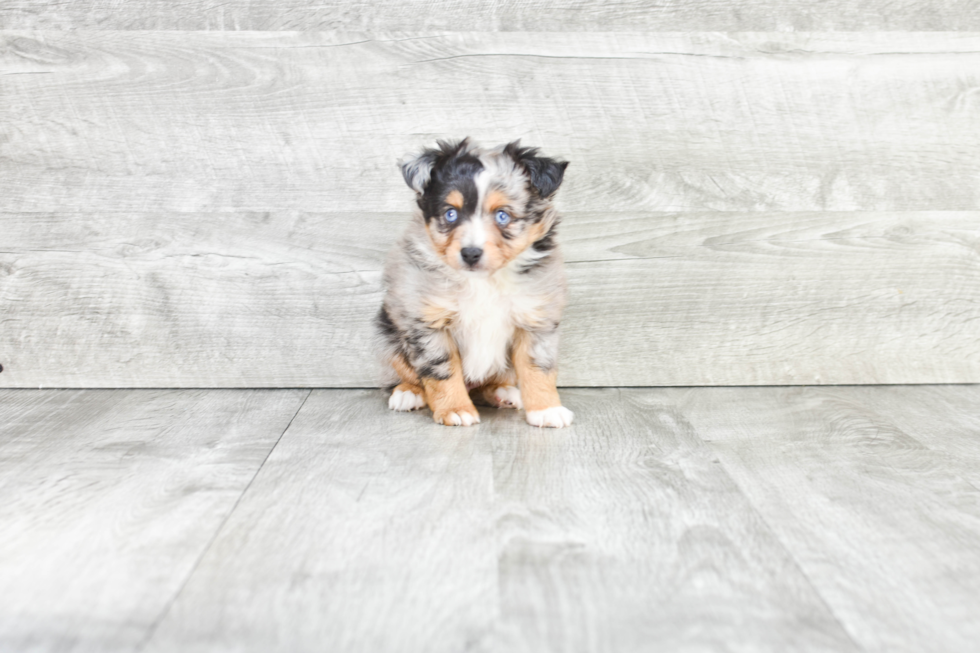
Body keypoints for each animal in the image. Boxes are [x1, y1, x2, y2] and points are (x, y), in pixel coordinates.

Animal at [376, 138, 576, 428]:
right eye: (450, 214)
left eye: (502, 216)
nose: (470, 253)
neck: (484, 281)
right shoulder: (427, 321)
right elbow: (441, 370)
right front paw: (455, 409)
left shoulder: (536, 318)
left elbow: (538, 367)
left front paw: (546, 408)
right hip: (387, 333)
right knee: (408, 373)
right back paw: (408, 393)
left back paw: (504, 393)